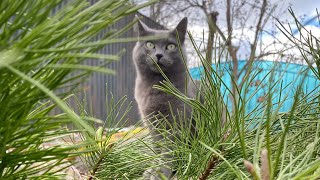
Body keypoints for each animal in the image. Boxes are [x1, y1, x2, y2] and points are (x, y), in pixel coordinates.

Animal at [131, 16, 196, 179]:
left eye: (171, 46)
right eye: (149, 44)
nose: (159, 55)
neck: (156, 86)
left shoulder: (177, 123)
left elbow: (168, 151)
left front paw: (160, 173)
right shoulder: (150, 123)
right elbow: (157, 148)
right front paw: (151, 170)